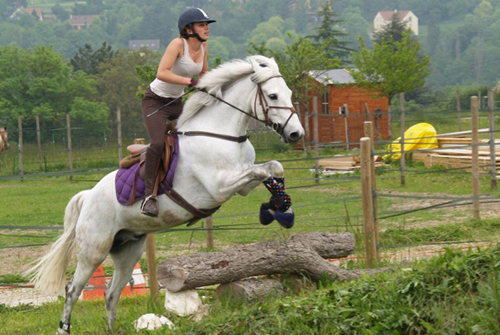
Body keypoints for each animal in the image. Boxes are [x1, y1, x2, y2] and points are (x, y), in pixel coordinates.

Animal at [26, 56, 304, 334]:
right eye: (272, 95)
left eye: (289, 93)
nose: (296, 134)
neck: (222, 134)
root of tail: (88, 196)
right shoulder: (221, 186)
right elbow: (266, 169)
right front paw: (279, 210)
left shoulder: (241, 183)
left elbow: (273, 169)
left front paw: (279, 210)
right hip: (94, 250)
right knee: (72, 290)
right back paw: (64, 327)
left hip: (128, 251)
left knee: (111, 294)